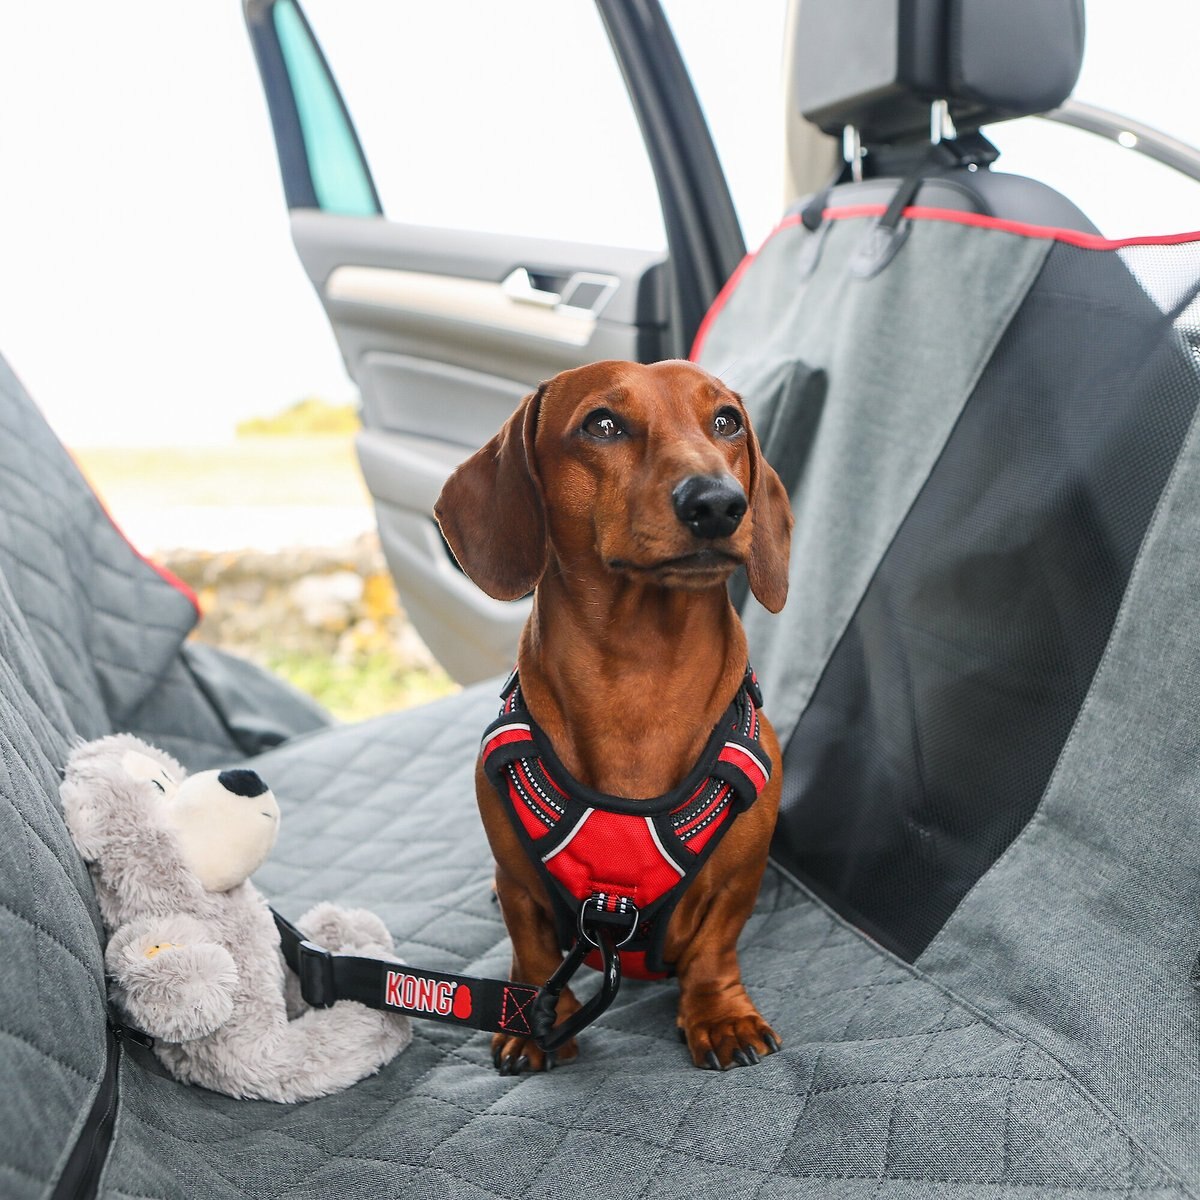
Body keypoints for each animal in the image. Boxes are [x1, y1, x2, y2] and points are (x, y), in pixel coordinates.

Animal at [436, 360, 792, 1075]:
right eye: (602, 424)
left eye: (727, 421)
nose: (717, 504)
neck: (640, 675)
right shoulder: (520, 885)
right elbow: (532, 949)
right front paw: (532, 1022)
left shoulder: (737, 880)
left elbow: (715, 946)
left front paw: (720, 1014)